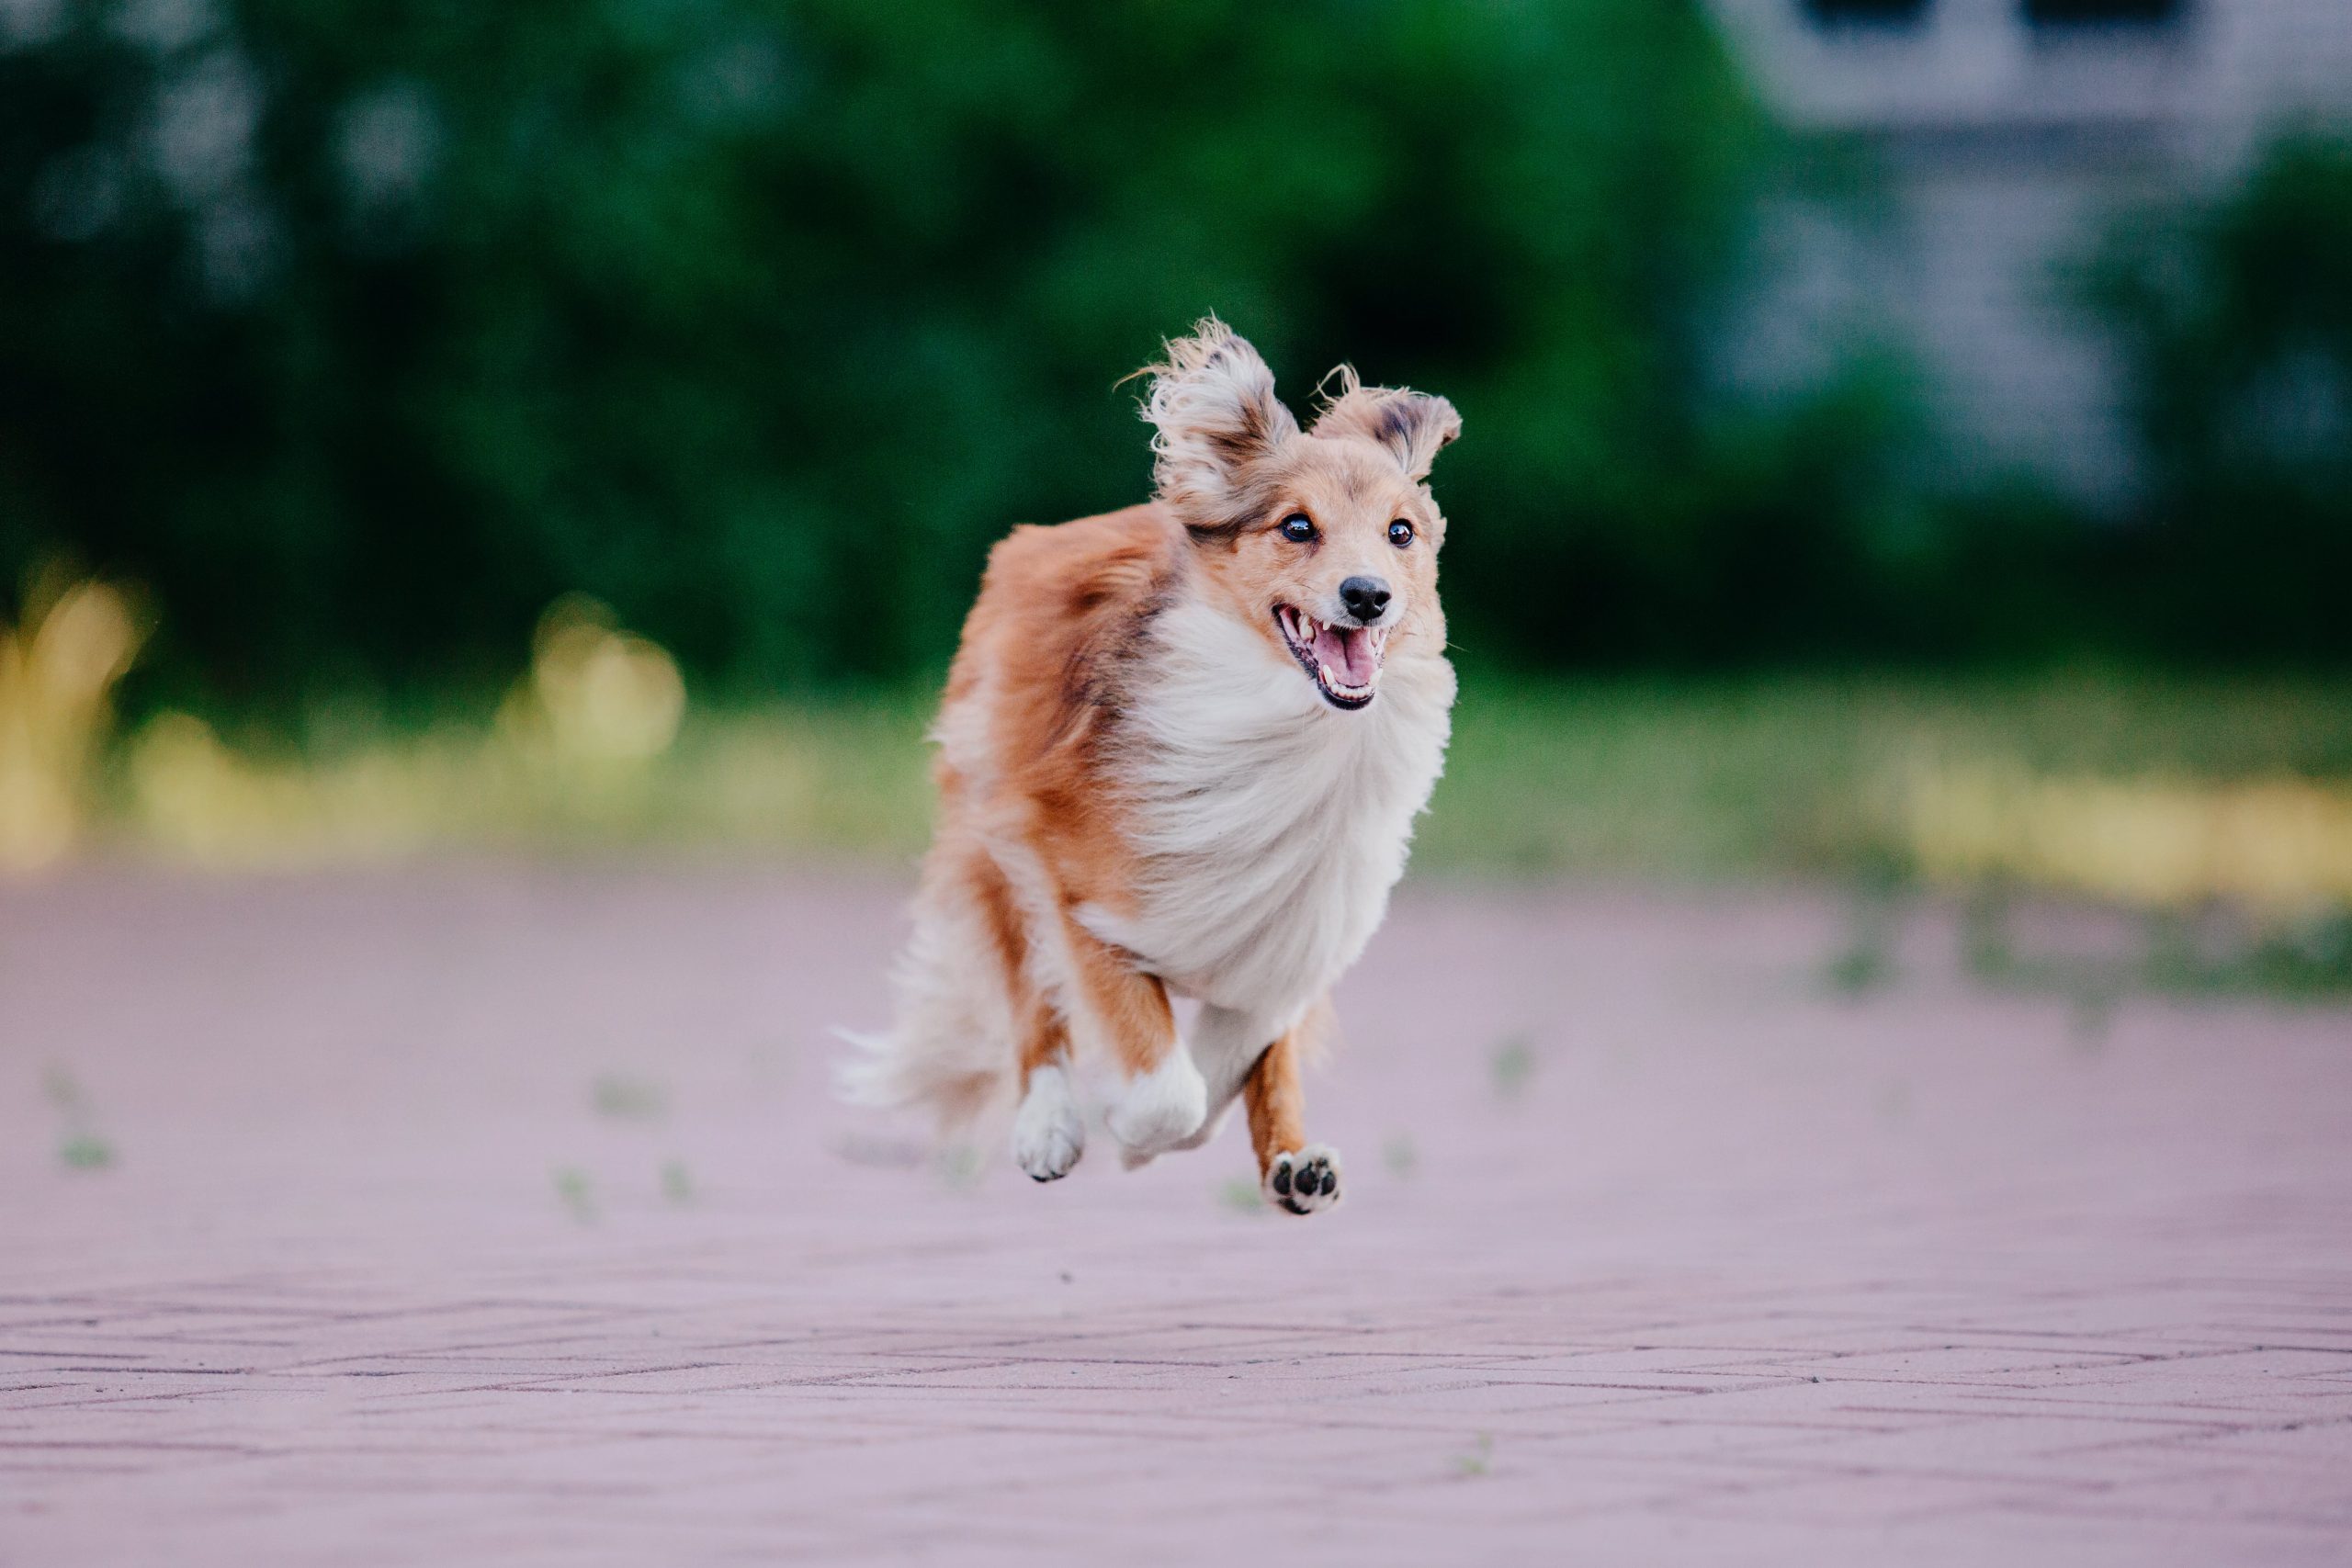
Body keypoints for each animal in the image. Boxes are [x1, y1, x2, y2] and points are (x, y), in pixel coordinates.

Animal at [846, 320, 1458, 1222]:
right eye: (1297, 527)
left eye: (1401, 532)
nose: (1368, 595)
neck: (1280, 719)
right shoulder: (1080, 893)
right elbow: (1167, 1086)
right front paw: (1130, 1132)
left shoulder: (1306, 918)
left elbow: (1239, 1050)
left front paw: (1219, 1122)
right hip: (995, 830)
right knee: (1032, 1001)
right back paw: (1049, 1129)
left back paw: (1297, 1164)